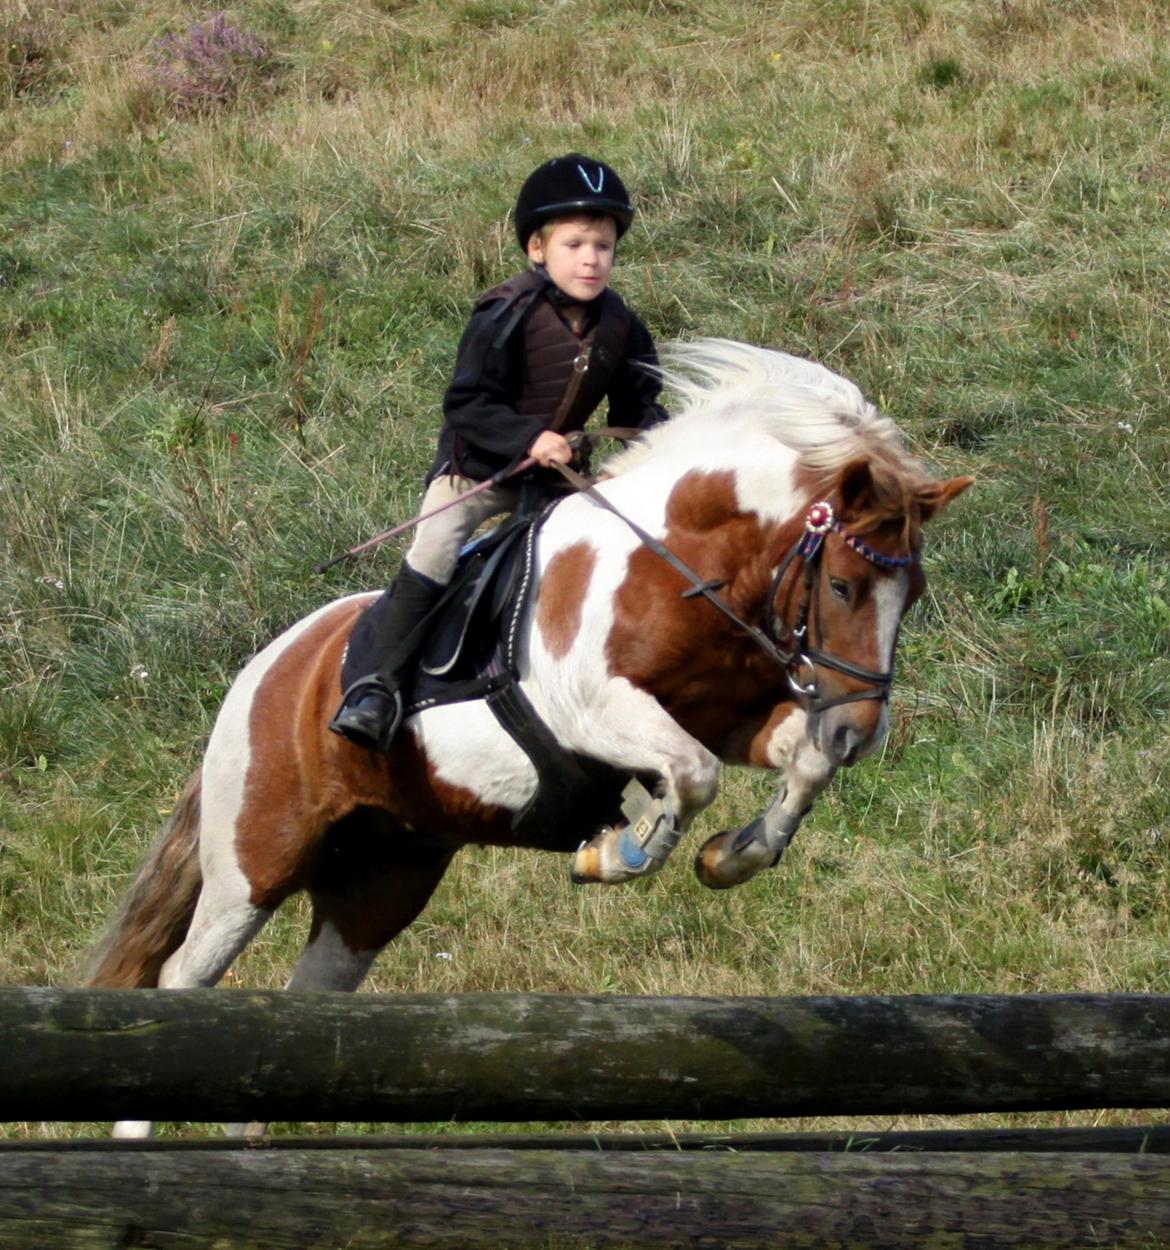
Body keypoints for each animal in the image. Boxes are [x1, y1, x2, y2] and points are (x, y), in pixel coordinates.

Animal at [89, 335, 970, 1005]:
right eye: (844, 586)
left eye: (917, 593)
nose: (861, 729)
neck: (678, 562)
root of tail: (264, 668)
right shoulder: (591, 710)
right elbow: (692, 774)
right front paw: (620, 852)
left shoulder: (734, 716)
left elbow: (798, 765)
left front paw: (732, 856)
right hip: (254, 864)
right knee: (181, 977)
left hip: (383, 875)